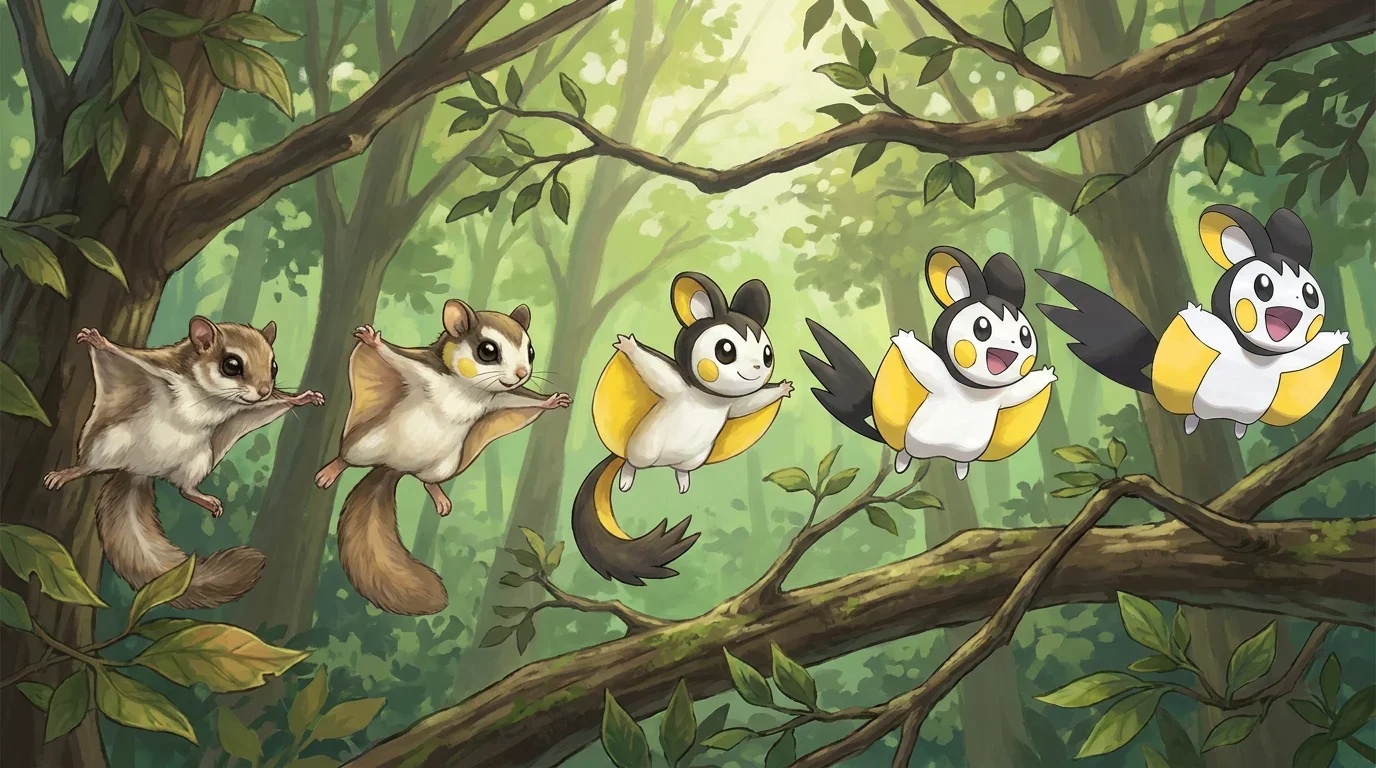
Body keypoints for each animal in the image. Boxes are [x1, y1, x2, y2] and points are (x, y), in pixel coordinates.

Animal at [43, 317, 324, 609]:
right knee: (89, 466)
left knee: (184, 489)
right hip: (106, 442)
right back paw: (69, 472)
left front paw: (302, 398)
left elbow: (271, 405)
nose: (264, 390)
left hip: (197, 461)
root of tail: (139, 471)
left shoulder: (247, 408)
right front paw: (98, 340)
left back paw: (204, 499)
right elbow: (121, 355)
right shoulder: (155, 366)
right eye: (232, 365)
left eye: (274, 366)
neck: (209, 397)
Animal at [316, 300, 571, 616]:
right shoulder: (424, 374)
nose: (523, 373)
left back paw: (438, 495)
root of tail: (393, 468)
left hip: (444, 465)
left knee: (427, 480)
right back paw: (330, 470)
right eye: (488, 350)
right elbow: (397, 359)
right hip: (365, 443)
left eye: (531, 351)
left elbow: (517, 399)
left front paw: (551, 401)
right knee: (347, 457)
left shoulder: (497, 399)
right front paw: (373, 341)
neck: (467, 390)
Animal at [572, 272, 791, 586]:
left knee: (682, 467)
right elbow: (654, 372)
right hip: (645, 446)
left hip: (695, 456)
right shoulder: (675, 387)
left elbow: (750, 402)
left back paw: (683, 480)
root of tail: (662, 463)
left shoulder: (733, 405)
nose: (757, 368)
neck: (710, 397)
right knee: (633, 462)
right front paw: (630, 347)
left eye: (767, 354)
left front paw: (782, 389)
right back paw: (627, 477)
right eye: (725, 350)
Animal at [804, 248, 1056, 481]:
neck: (973, 389)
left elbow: (1020, 392)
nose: (1012, 343)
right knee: (907, 452)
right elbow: (923, 365)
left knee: (960, 460)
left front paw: (1046, 375)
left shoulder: (1002, 396)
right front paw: (906, 340)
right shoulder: (940, 378)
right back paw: (902, 464)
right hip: (914, 440)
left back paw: (961, 470)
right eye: (982, 328)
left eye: (1025, 336)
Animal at [1038, 204, 1348, 440]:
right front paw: (1193, 311)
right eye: (1263, 286)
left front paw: (1338, 339)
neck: (1255, 355)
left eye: (1310, 295)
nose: (1292, 306)